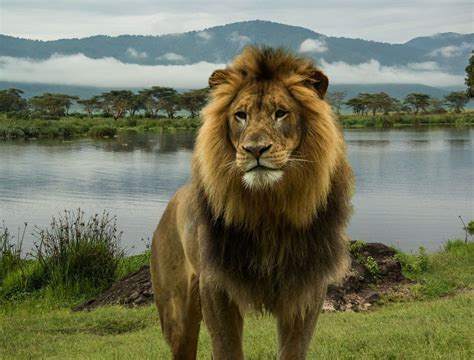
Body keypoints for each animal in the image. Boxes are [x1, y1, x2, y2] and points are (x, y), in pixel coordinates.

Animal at [150, 46, 354, 358]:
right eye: (240, 115)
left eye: (280, 113)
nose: (255, 149)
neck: (267, 208)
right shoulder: (216, 285)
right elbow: (227, 349)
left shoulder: (306, 287)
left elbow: (293, 350)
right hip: (177, 312)